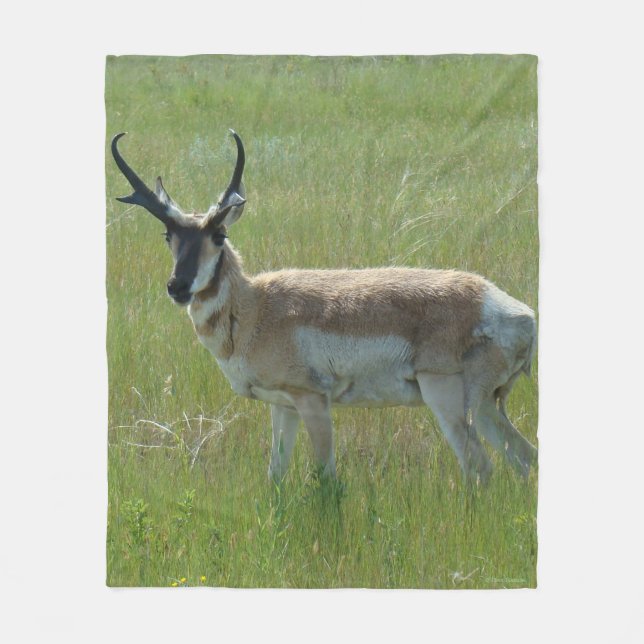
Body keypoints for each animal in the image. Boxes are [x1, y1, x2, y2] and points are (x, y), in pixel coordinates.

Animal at [111, 130, 537, 485]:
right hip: (487, 406)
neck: (256, 307)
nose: (177, 287)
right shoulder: (282, 406)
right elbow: (275, 476)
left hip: (446, 397)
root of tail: (517, 312)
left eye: (219, 234)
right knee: (524, 456)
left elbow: (327, 479)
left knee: (479, 467)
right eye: (168, 234)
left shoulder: (313, 401)